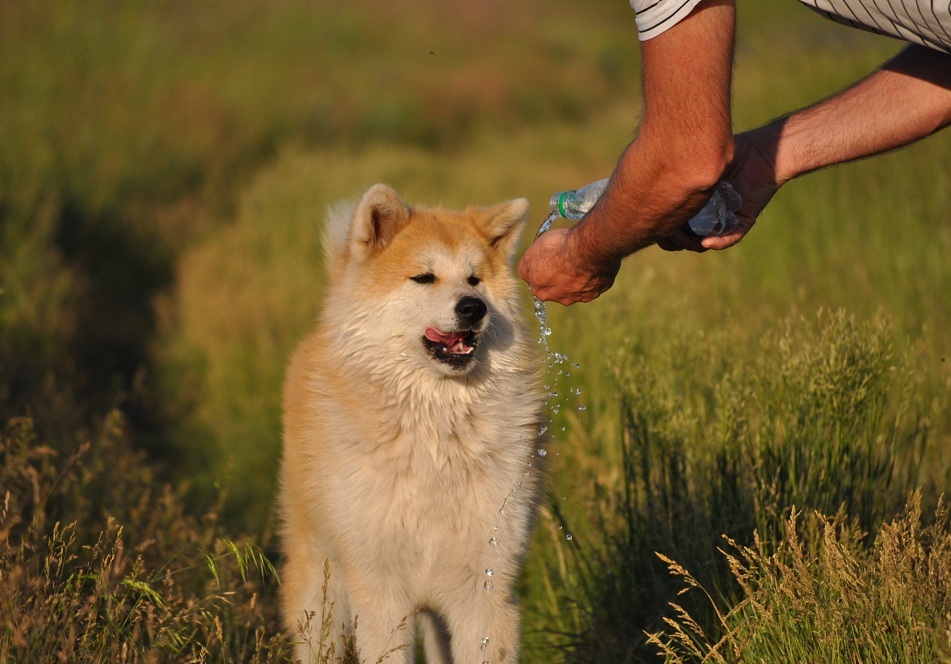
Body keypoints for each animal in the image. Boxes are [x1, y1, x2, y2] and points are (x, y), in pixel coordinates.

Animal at [278, 183, 548, 664]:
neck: (434, 439)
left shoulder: (486, 587)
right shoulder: (381, 591)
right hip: (322, 592)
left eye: (475, 280)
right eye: (424, 278)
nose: (473, 307)